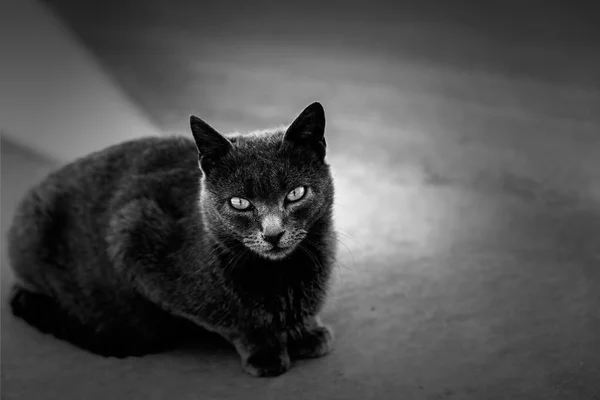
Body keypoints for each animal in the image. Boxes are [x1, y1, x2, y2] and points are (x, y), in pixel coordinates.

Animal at [7, 101, 338, 376]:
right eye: (240, 203)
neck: (284, 274)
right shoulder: (131, 235)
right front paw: (266, 351)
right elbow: (234, 319)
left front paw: (307, 332)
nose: (273, 234)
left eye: (295, 194)